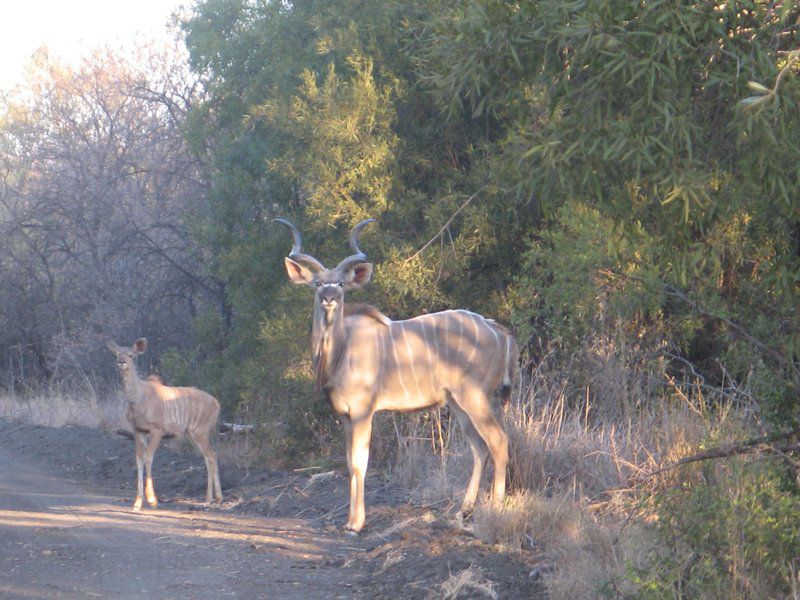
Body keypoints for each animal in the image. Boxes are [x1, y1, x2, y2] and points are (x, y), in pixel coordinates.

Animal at [106, 340, 223, 508]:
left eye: (132, 355)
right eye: (116, 354)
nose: (121, 362)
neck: (138, 400)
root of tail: (217, 405)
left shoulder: (157, 429)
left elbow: (149, 457)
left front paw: (152, 499)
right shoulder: (138, 430)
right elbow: (139, 459)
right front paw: (137, 503)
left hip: (200, 431)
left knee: (211, 455)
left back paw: (209, 499)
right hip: (191, 434)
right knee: (210, 456)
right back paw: (216, 498)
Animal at [276, 218, 512, 532]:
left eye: (341, 283)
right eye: (317, 283)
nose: (329, 298)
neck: (341, 351)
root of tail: (500, 332)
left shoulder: (363, 411)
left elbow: (360, 462)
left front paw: (357, 523)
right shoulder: (345, 415)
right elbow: (349, 463)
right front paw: (349, 520)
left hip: (475, 398)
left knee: (498, 441)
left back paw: (495, 509)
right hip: (459, 405)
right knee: (479, 448)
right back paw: (463, 511)